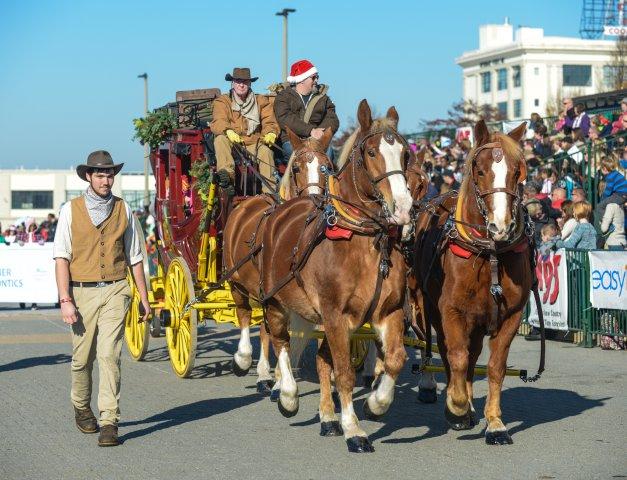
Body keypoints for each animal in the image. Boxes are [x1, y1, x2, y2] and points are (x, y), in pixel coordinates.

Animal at [224, 127, 336, 394]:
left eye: (327, 167)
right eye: (295, 168)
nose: (316, 201)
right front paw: (279, 381)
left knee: (265, 328)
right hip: (236, 282)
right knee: (244, 314)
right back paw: (245, 360)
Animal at [258, 99, 414, 452]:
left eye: (405, 153)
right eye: (371, 152)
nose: (403, 208)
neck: (363, 242)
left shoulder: (387, 312)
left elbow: (395, 359)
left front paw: (376, 402)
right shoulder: (334, 315)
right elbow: (343, 373)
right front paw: (353, 428)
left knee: (318, 358)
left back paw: (328, 418)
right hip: (275, 300)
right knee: (280, 341)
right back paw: (286, 394)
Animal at [414, 121, 532, 446]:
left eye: (518, 171)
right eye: (479, 170)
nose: (501, 226)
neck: (490, 253)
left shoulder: (510, 314)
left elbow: (494, 366)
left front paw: (495, 422)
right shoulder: (451, 310)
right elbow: (455, 357)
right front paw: (456, 406)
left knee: (473, 354)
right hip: (429, 308)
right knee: (443, 349)